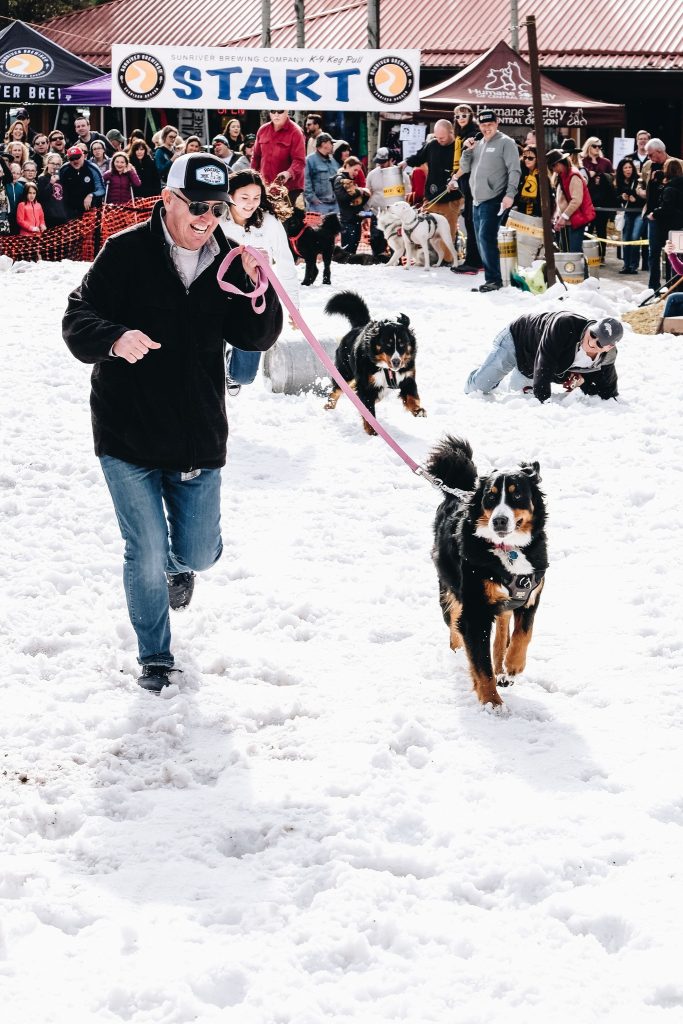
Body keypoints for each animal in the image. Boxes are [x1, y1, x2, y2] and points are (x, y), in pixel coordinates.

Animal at [321, 290, 423, 434]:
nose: (396, 362)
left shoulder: (407, 377)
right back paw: (329, 406)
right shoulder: (366, 385)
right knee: (336, 391)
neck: (386, 369)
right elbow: (368, 410)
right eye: (387, 344)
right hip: (345, 373)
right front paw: (372, 431)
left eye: (403, 343)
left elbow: (412, 396)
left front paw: (418, 410)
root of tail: (358, 327)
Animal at [428, 436, 548, 708]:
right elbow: (481, 665)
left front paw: (513, 666)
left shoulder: (531, 594)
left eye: (517, 494)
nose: (499, 520)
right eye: (490, 498)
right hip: (449, 588)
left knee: (502, 628)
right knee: (454, 627)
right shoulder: (474, 612)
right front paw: (492, 703)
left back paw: (502, 666)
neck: (509, 549)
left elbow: (524, 633)